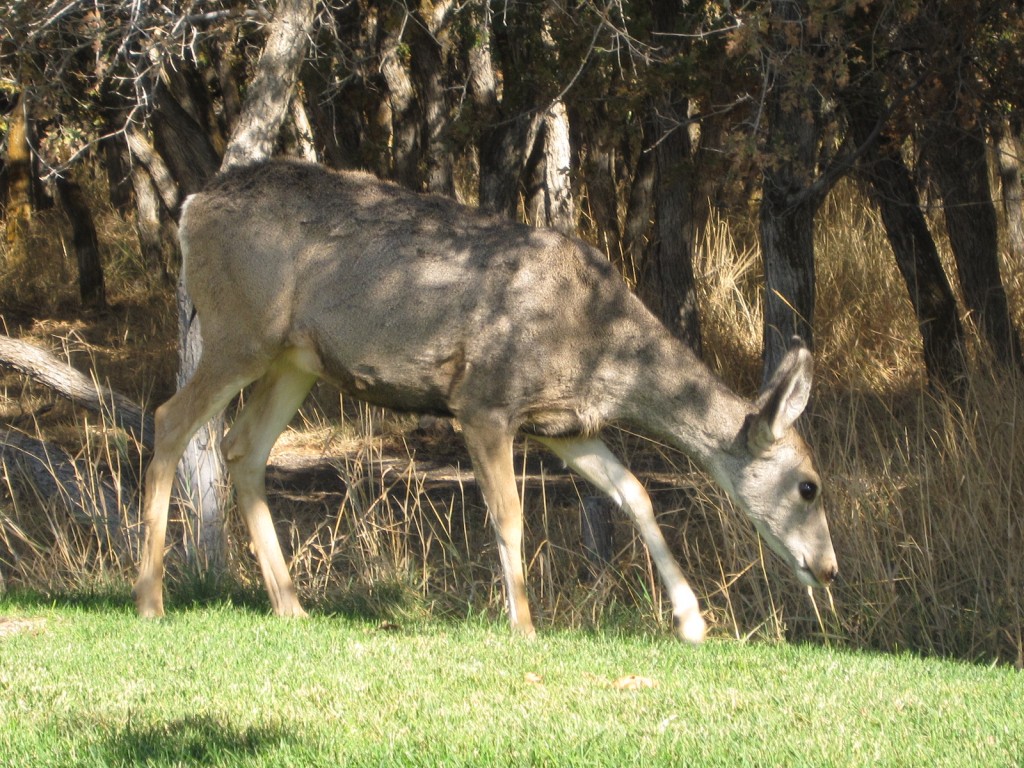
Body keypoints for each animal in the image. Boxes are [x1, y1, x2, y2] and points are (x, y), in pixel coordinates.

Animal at [132, 157, 835, 643]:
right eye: (809, 486)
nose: (827, 570)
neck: (600, 348)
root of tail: (192, 205)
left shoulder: (562, 423)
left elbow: (635, 493)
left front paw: (692, 622)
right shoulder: (484, 401)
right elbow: (509, 513)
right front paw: (522, 623)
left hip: (293, 359)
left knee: (241, 447)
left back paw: (290, 604)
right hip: (238, 330)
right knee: (169, 420)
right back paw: (149, 600)